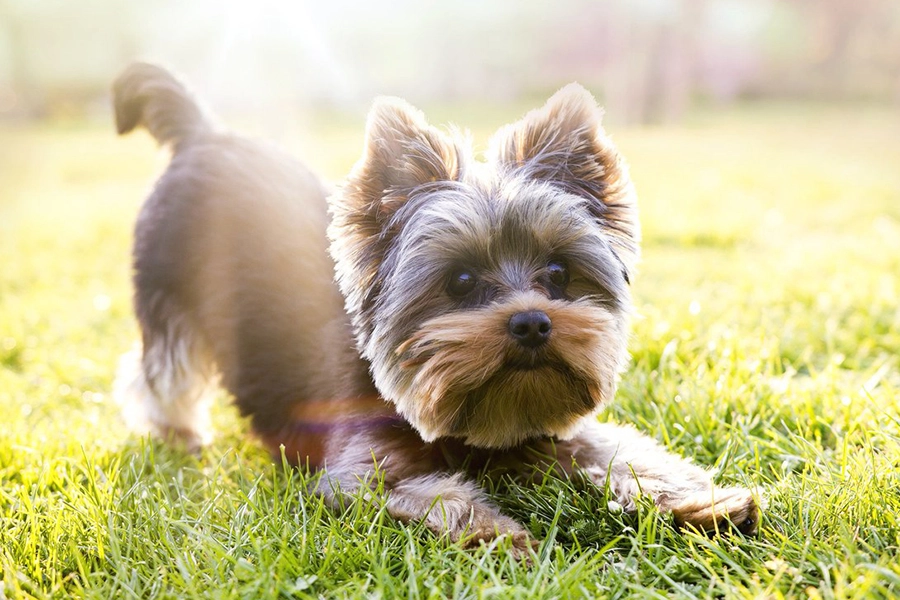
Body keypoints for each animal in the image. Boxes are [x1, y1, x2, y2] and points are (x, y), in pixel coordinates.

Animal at [112, 62, 760, 552]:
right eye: (461, 280)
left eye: (557, 273)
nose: (532, 322)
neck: (474, 425)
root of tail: (201, 134)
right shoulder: (358, 474)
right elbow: (438, 496)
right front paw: (501, 535)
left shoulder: (551, 428)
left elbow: (625, 454)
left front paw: (703, 502)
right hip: (166, 291)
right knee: (160, 370)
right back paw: (177, 433)